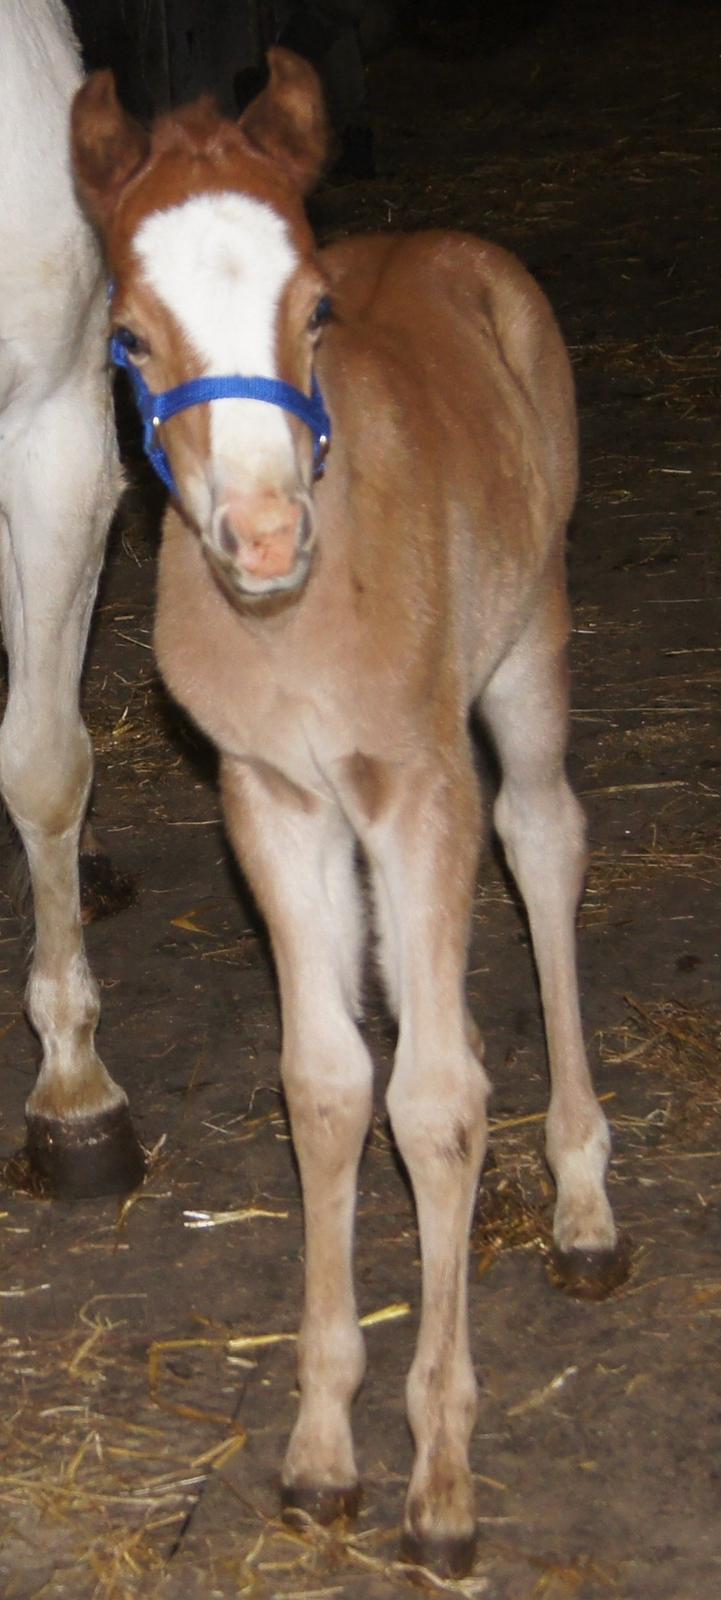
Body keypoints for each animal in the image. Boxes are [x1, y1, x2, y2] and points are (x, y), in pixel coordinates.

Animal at [71, 46, 626, 1573]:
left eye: (313, 304)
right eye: (129, 336)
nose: (263, 537)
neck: (294, 628)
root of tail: (445, 243)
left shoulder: (419, 780)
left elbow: (434, 1103)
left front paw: (442, 1476)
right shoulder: (269, 798)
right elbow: (327, 1087)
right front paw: (323, 1446)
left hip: (527, 644)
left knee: (544, 842)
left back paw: (581, 1198)